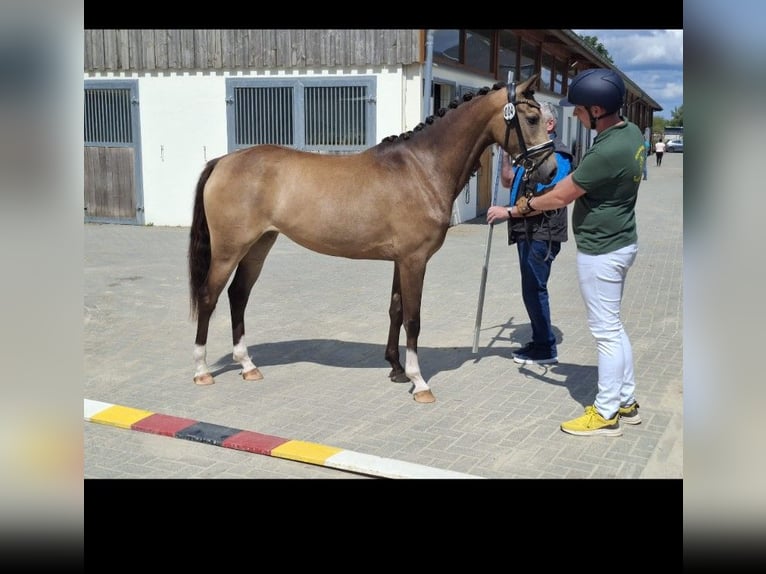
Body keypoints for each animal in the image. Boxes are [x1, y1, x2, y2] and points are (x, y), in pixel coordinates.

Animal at [188, 74, 558, 404]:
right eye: (532, 118)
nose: (551, 171)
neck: (422, 168)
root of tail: (223, 161)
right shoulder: (414, 260)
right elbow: (413, 318)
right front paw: (419, 382)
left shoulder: (400, 260)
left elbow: (396, 309)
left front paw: (396, 368)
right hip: (229, 250)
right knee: (209, 296)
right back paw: (202, 370)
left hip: (258, 245)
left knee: (238, 295)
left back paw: (247, 365)